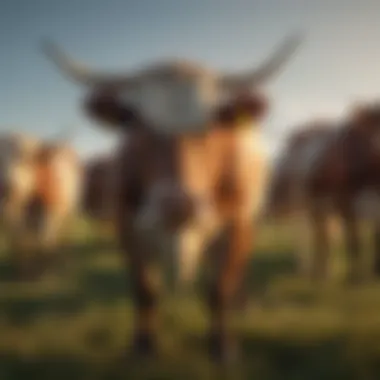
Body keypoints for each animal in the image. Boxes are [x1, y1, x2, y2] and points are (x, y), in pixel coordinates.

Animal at [41, 34, 302, 364]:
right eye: (134, 122)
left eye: (215, 122)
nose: (178, 206)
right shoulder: (127, 225)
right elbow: (145, 290)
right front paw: (144, 344)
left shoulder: (237, 223)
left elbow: (220, 288)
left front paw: (222, 345)